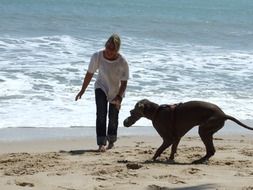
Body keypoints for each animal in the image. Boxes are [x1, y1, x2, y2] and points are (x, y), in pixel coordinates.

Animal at [123, 99, 253, 163]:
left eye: (131, 112)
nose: (125, 122)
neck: (156, 111)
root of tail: (223, 115)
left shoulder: (168, 139)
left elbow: (159, 150)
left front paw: (152, 159)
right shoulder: (176, 137)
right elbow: (173, 149)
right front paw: (170, 159)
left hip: (204, 130)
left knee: (211, 150)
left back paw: (199, 160)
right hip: (207, 130)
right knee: (211, 151)